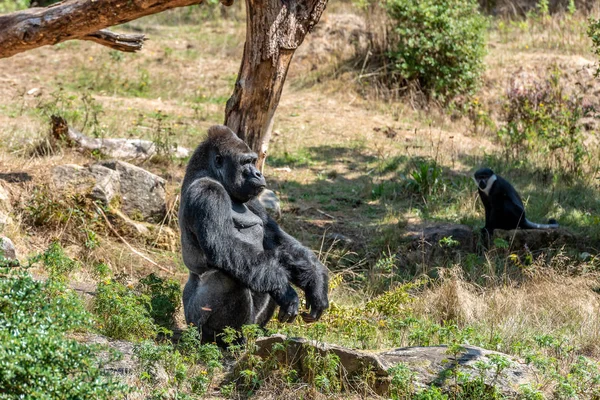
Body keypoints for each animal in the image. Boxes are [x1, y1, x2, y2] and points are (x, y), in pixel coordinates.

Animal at [179, 126, 328, 346]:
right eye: (245, 162)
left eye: (253, 160)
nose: (258, 173)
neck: (211, 173)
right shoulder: (207, 193)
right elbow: (225, 248)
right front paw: (285, 290)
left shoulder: (253, 198)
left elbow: (278, 242)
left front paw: (315, 283)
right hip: (193, 322)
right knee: (229, 278)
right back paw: (226, 340)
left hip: (252, 323)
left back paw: (258, 333)